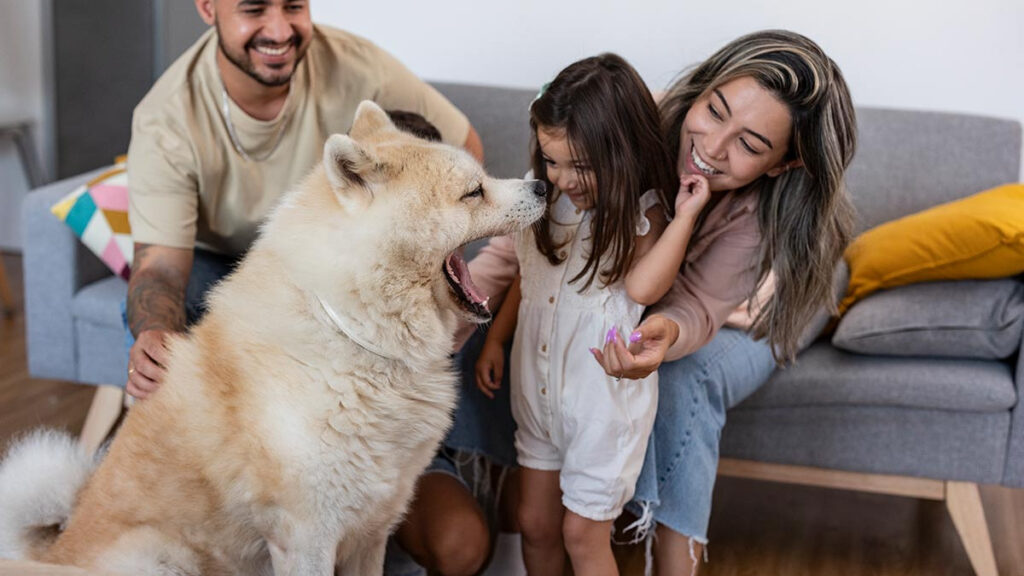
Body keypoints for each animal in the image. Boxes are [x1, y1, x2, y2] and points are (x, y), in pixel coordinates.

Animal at [0, 100, 548, 569]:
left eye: (483, 178)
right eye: (474, 191)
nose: (542, 186)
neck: (351, 331)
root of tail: (51, 556)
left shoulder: (372, 530)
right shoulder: (306, 538)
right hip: (158, 558)